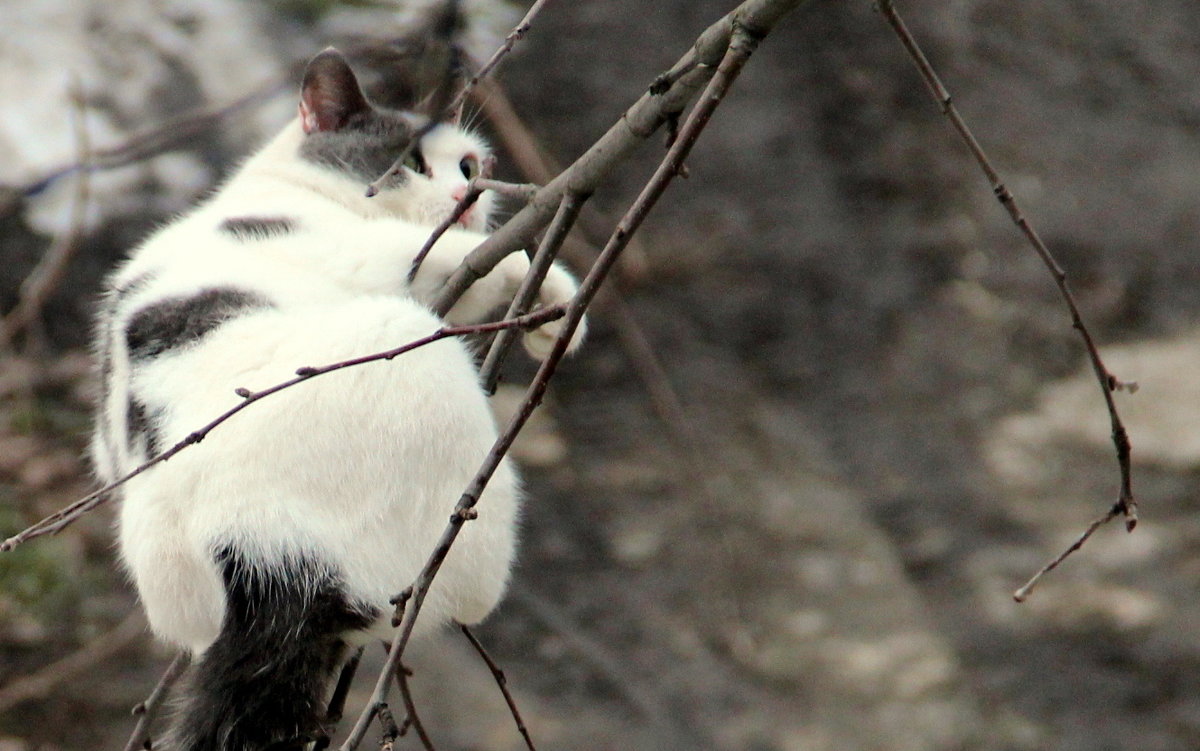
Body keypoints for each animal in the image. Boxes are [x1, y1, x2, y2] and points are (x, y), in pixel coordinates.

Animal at [90, 48, 585, 748]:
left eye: (468, 166)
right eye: (410, 162)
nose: (464, 195)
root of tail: (259, 558)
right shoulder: (369, 255)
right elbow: (463, 258)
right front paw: (556, 294)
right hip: (404, 346)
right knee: (465, 584)